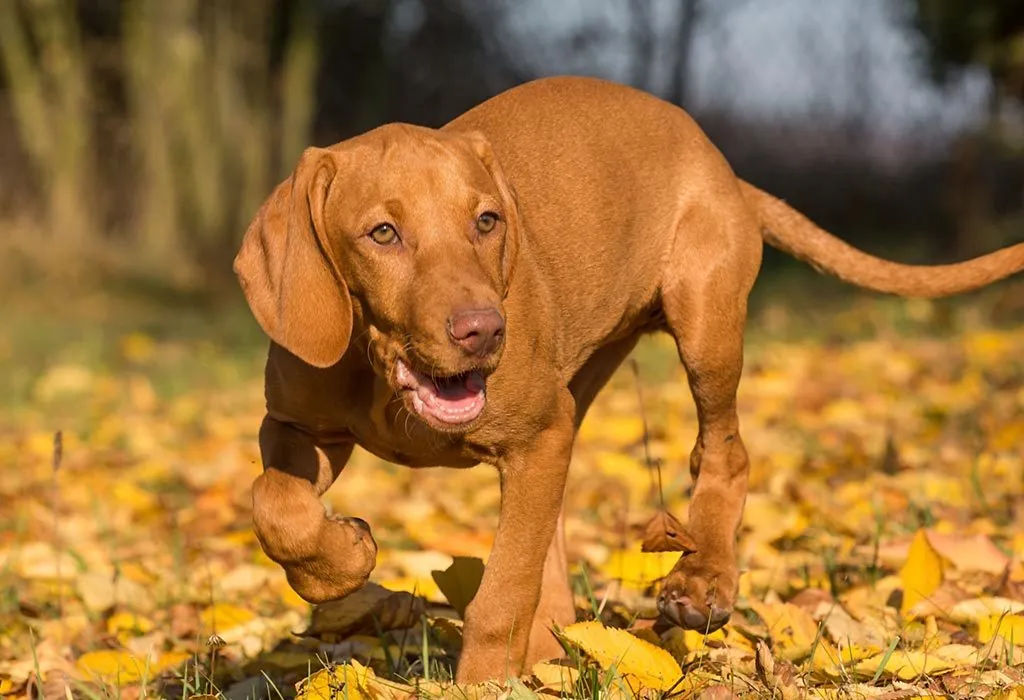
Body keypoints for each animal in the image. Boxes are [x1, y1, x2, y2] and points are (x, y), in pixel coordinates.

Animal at [234, 77, 1024, 683]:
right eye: (383, 234)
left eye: (487, 221)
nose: (484, 331)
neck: (378, 372)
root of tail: (720, 163)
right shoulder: (295, 426)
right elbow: (277, 508)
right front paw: (346, 566)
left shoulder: (536, 435)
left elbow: (500, 593)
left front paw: (481, 683)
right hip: (578, 388)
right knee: (555, 526)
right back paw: (552, 653)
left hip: (703, 322)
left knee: (723, 451)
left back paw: (699, 587)